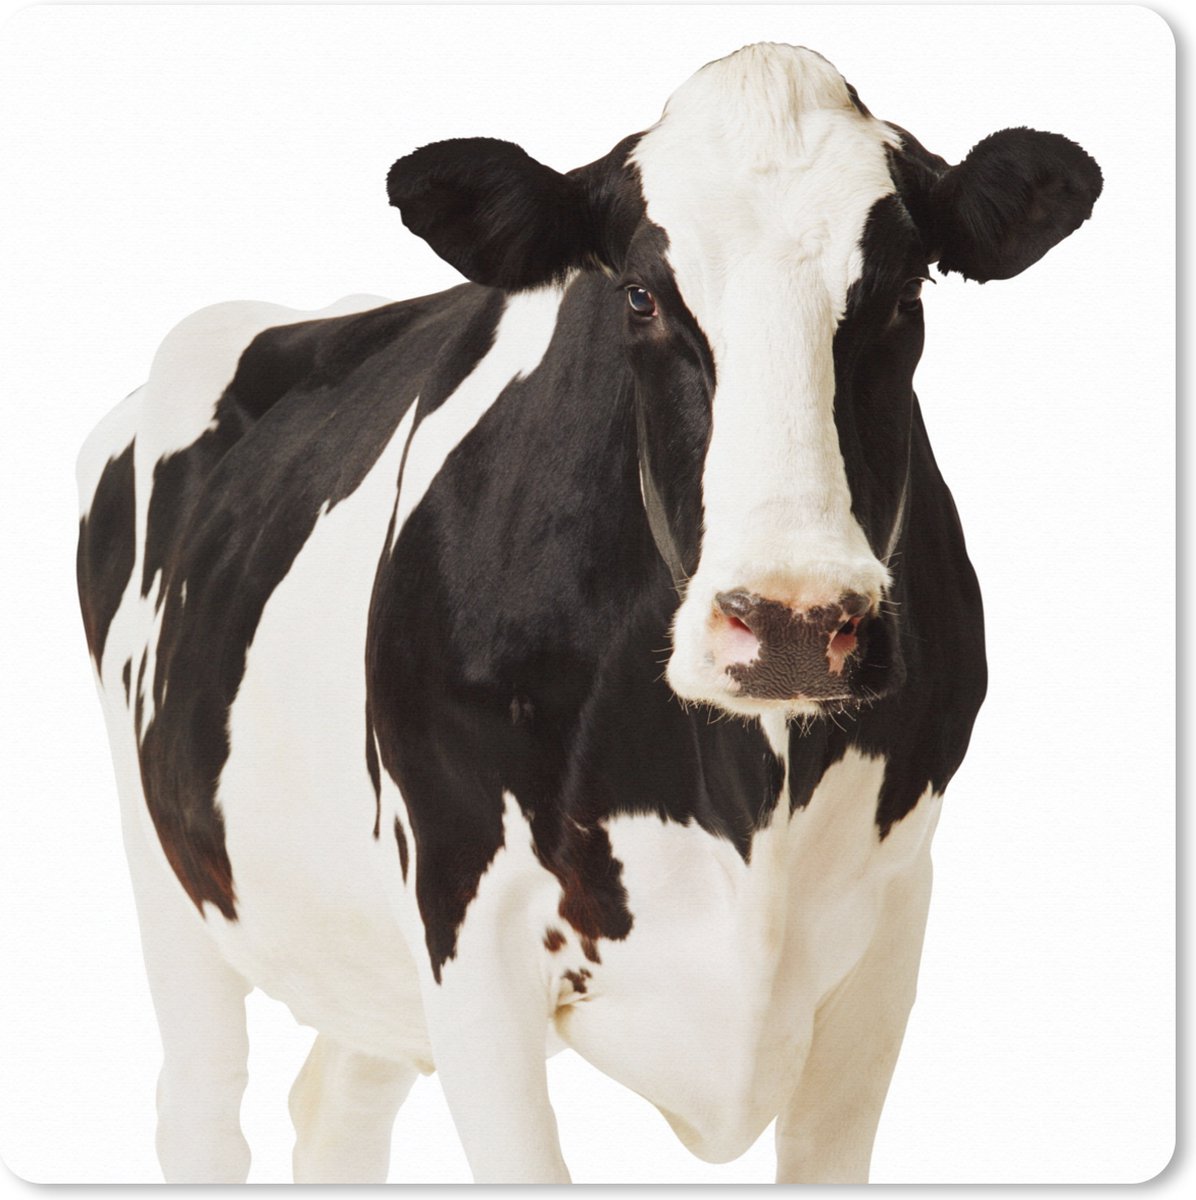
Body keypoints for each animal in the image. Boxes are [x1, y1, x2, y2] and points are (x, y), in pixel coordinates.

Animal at [76, 43, 1101, 1184]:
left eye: (902, 289)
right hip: (165, 862)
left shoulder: (888, 928)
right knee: (201, 1110)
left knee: (336, 1105)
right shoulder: (466, 927)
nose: (791, 621)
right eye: (642, 295)